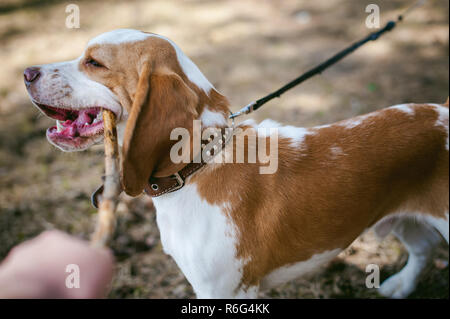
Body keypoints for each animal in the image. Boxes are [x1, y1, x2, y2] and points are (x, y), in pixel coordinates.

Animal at [25, 28, 450, 298]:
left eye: (94, 63)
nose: (26, 72)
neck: (199, 166)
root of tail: (443, 110)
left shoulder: (225, 290)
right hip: (402, 218)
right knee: (423, 248)